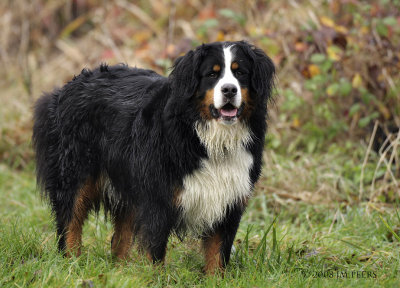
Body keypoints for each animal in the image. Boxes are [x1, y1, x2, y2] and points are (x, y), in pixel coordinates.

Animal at [32, 40, 276, 272]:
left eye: (240, 72)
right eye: (212, 74)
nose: (229, 90)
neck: (208, 139)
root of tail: (66, 87)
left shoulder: (230, 200)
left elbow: (218, 254)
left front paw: (214, 279)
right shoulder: (159, 198)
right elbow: (154, 251)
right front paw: (153, 278)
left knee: (119, 239)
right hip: (75, 174)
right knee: (70, 222)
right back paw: (70, 263)